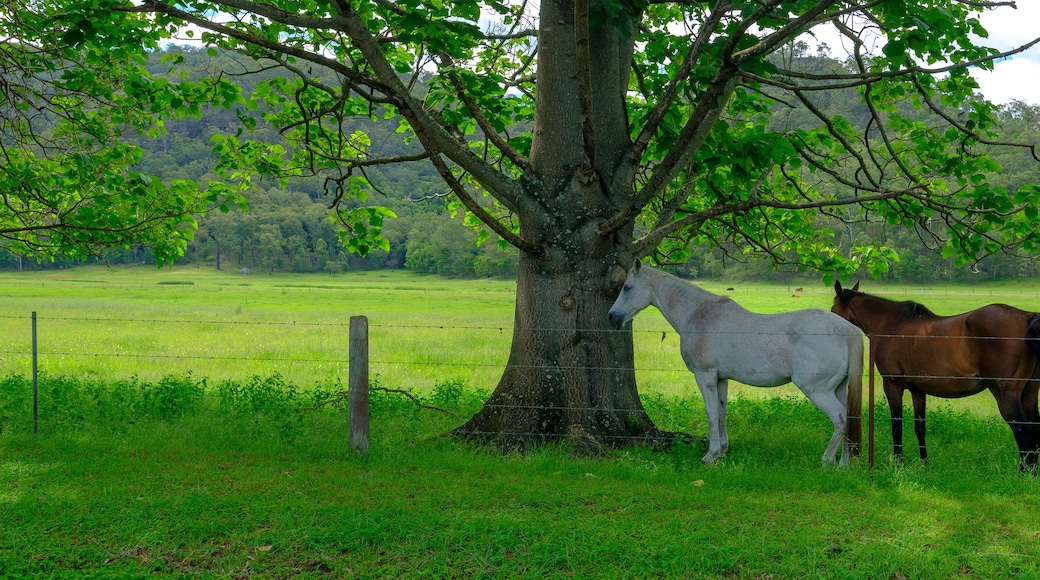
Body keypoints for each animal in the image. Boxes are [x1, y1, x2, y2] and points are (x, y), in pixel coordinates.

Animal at [607, 261, 865, 465]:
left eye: (627, 288)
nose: (611, 317)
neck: (700, 315)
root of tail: (847, 329)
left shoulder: (705, 375)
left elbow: (711, 413)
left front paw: (710, 456)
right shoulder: (720, 379)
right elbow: (722, 413)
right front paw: (721, 452)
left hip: (817, 390)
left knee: (840, 418)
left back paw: (827, 460)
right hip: (838, 388)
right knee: (849, 418)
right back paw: (843, 464)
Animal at [832, 282, 1040, 473]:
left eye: (833, 310)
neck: (891, 324)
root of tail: (1027, 317)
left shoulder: (892, 384)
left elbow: (897, 426)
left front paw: (899, 464)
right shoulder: (917, 391)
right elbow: (920, 428)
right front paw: (925, 464)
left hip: (1005, 394)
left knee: (1023, 429)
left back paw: (1024, 473)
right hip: (1028, 393)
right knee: (1034, 426)